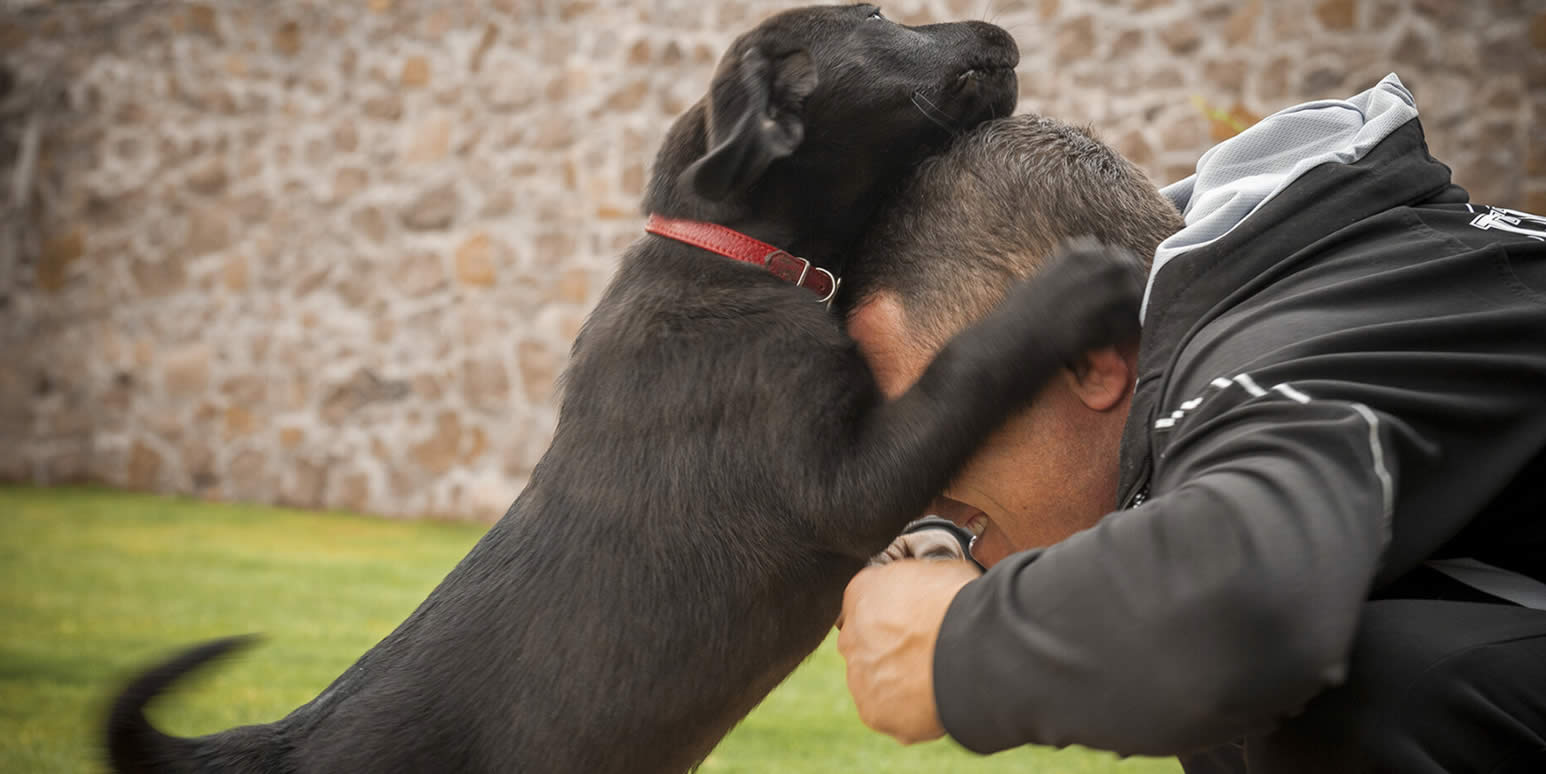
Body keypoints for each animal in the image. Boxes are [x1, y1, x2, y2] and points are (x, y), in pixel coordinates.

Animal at [108, 7, 1144, 772]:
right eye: (877, 18)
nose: (1002, 32)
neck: (735, 257)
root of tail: (286, 742)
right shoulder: (839, 482)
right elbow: (969, 363)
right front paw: (1082, 280)